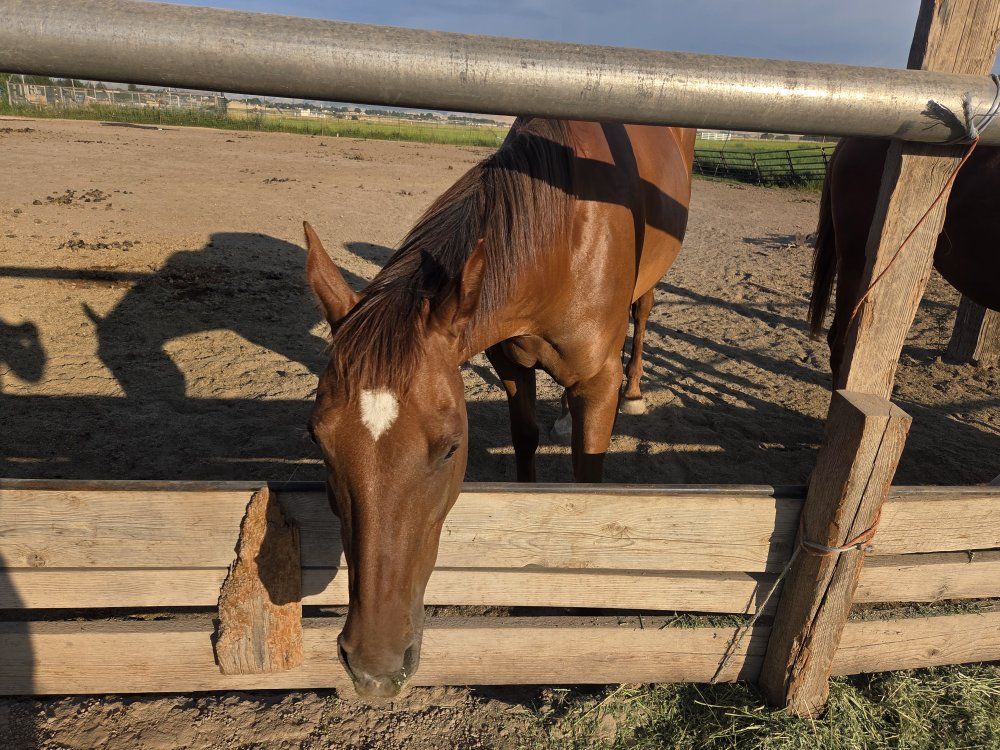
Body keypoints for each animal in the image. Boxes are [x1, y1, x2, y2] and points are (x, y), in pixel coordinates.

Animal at [304, 117, 694, 697]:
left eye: (450, 449)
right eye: (319, 440)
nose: (374, 666)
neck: (565, 233)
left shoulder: (597, 381)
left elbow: (590, 482)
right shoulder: (509, 360)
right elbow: (525, 438)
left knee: (643, 310)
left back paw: (637, 390)